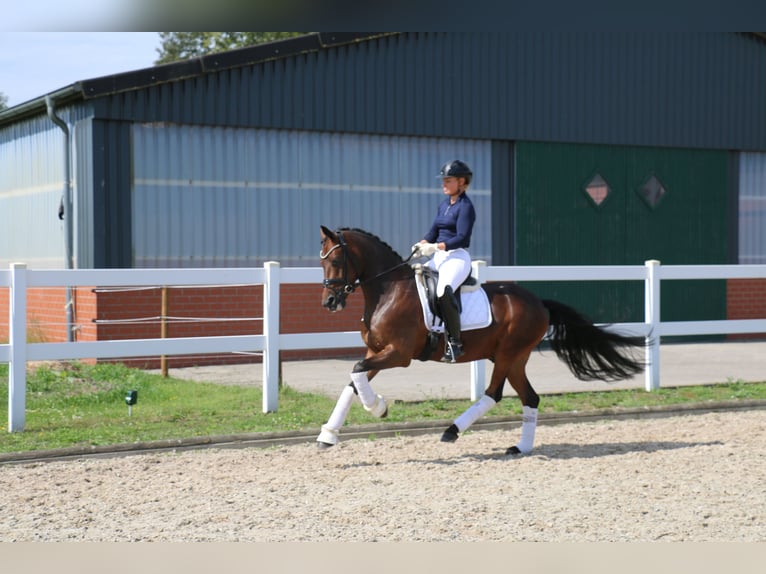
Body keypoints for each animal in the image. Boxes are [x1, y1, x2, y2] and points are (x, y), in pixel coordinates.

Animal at [318, 227, 648, 456]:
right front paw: (328, 434)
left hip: (507, 355)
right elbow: (354, 379)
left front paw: (379, 408)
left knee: (493, 393)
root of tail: (539, 303)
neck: (389, 291)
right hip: (514, 359)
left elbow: (357, 371)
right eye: (322, 263)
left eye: (335, 259)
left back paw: (452, 431)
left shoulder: (398, 354)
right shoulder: (376, 350)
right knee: (530, 398)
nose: (329, 302)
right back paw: (520, 447)